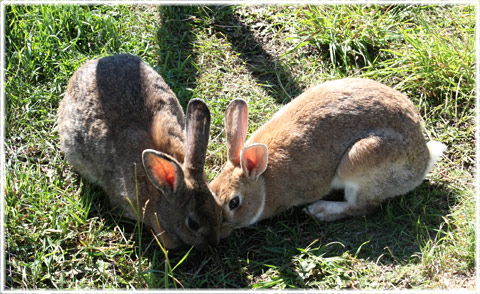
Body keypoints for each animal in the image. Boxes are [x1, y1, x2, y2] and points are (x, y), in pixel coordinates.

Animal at [212, 77, 448, 238]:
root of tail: (423, 162)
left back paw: (320, 210)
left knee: (362, 207)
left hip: (359, 162)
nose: (219, 231)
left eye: (234, 202)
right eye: (211, 188)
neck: (263, 180)